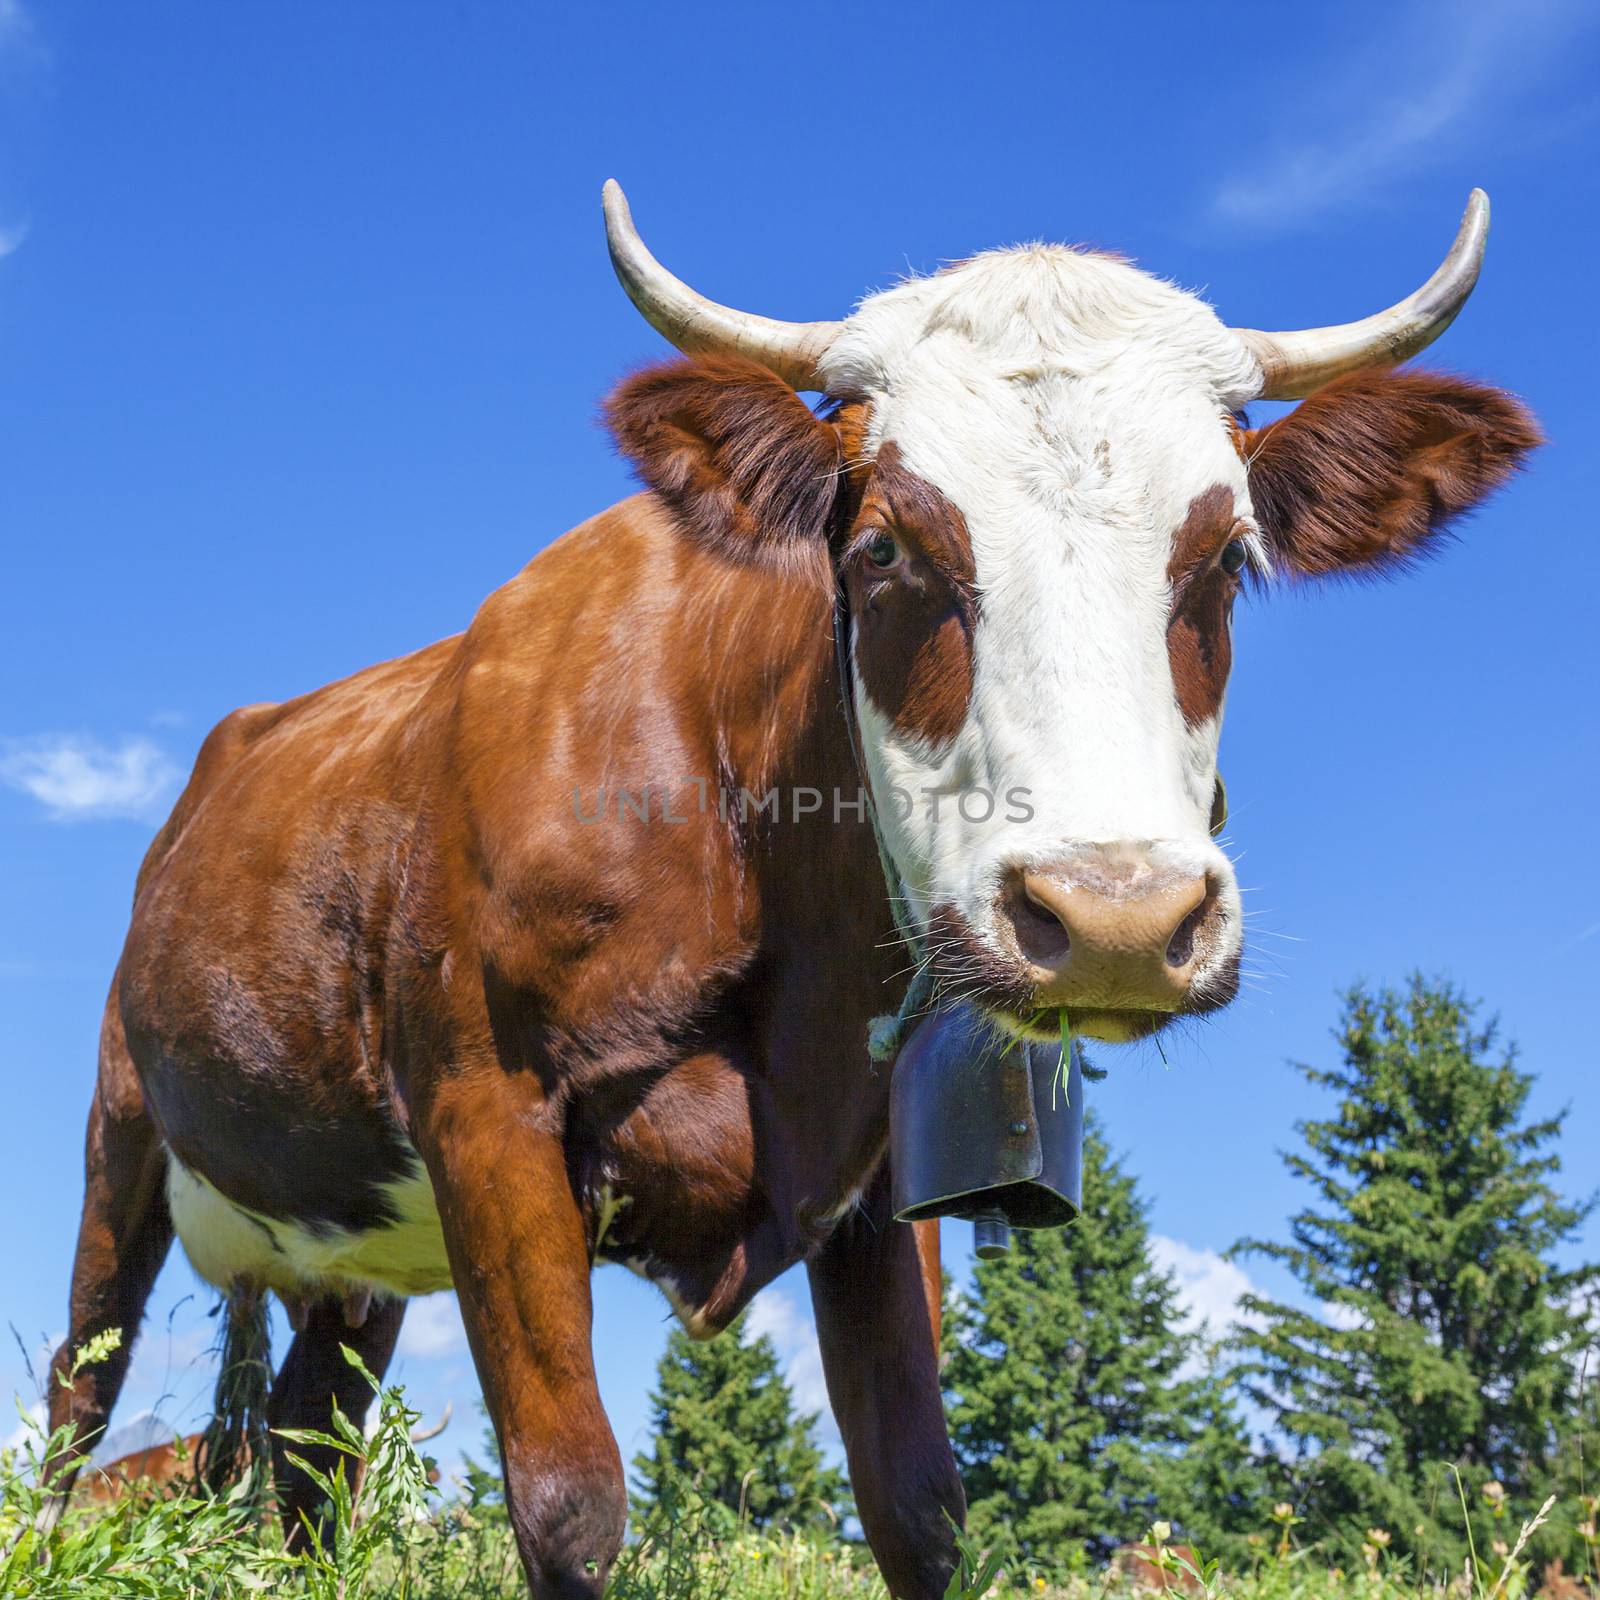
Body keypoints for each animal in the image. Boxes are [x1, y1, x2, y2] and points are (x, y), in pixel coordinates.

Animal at [50, 181, 1536, 1593]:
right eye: (884, 549)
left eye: (1228, 557)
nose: (1114, 918)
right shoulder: (487, 1112)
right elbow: (569, 1505)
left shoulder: (873, 1173)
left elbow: (919, 1505)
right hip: (122, 1142)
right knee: (80, 1402)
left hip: (354, 1257)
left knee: (309, 1455)